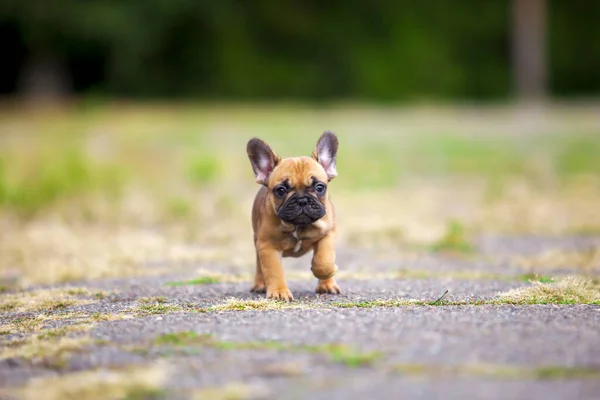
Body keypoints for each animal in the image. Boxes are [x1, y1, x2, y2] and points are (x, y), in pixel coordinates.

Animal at [246, 131, 340, 300]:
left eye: (320, 187)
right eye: (281, 190)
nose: (302, 200)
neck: (298, 225)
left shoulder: (329, 234)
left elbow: (324, 260)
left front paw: (328, 271)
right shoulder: (267, 246)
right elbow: (274, 271)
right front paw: (279, 292)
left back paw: (327, 285)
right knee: (259, 264)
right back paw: (260, 284)